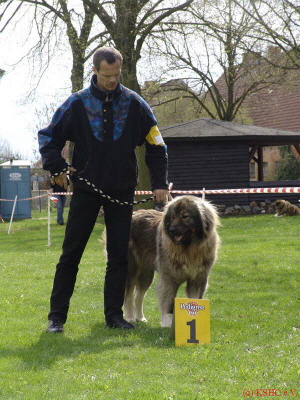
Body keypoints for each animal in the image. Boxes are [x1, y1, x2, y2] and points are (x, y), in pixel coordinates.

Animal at [124, 195, 220, 326]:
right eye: (173, 217)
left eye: (185, 216)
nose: (172, 229)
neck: (189, 248)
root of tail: (135, 213)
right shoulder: (170, 279)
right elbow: (169, 303)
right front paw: (167, 322)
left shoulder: (198, 279)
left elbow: (195, 299)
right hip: (132, 270)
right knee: (128, 295)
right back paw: (129, 317)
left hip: (147, 274)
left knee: (138, 295)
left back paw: (140, 318)